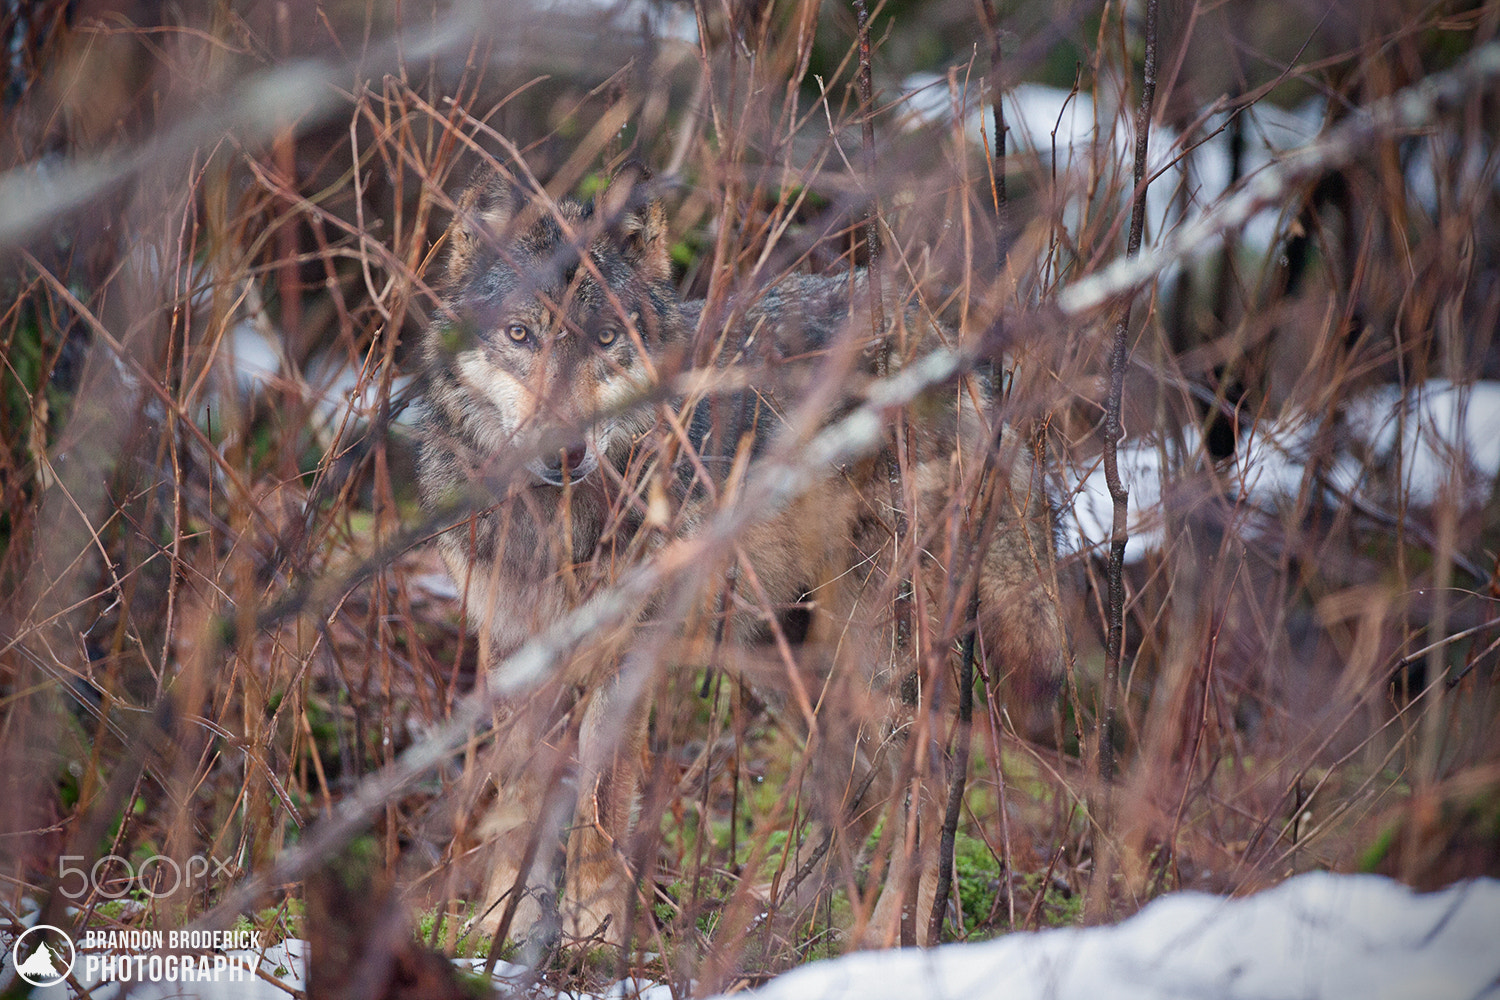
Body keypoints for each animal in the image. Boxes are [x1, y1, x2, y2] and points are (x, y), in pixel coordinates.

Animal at [417, 165, 1067, 951]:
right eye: (520, 334)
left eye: (606, 338)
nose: (564, 453)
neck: (553, 523)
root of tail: (948, 339)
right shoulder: (514, 649)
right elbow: (513, 800)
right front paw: (493, 927)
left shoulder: (625, 653)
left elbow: (600, 809)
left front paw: (592, 930)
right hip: (782, 654)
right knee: (859, 785)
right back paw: (776, 918)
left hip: (881, 647)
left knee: (927, 782)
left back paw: (880, 939)